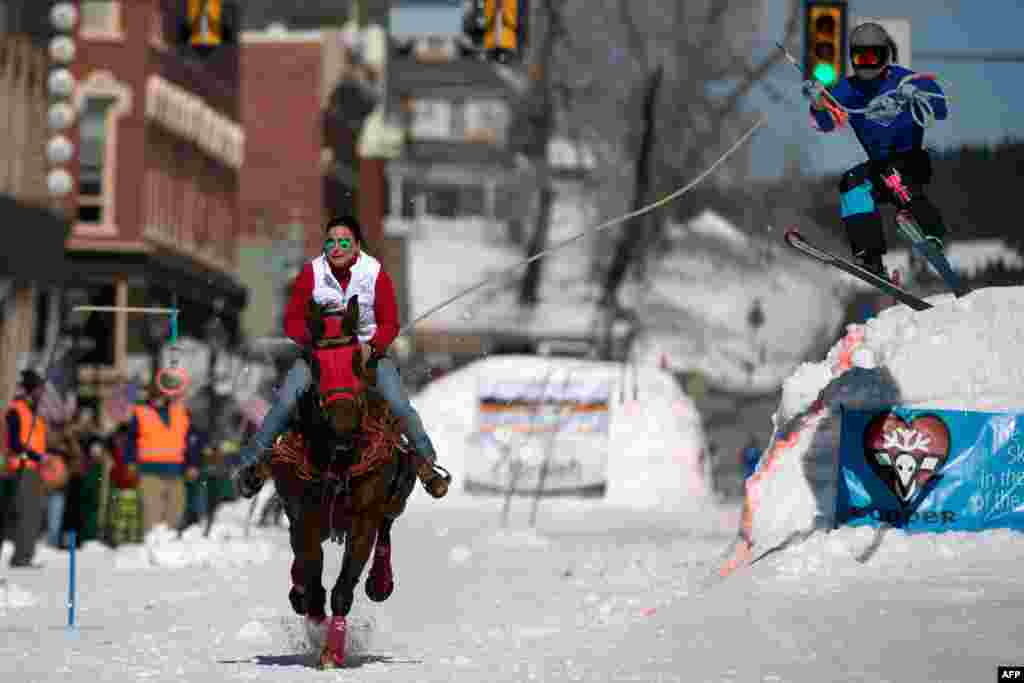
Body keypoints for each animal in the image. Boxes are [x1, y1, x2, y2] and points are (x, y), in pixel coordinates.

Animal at [258, 296, 434, 667]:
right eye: (316, 363)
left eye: (355, 359)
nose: (343, 422)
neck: (337, 453)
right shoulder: (304, 516)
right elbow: (311, 576)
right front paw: (313, 621)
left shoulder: (363, 519)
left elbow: (343, 587)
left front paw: (331, 651)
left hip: (397, 496)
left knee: (387, 528)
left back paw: (380, 581)